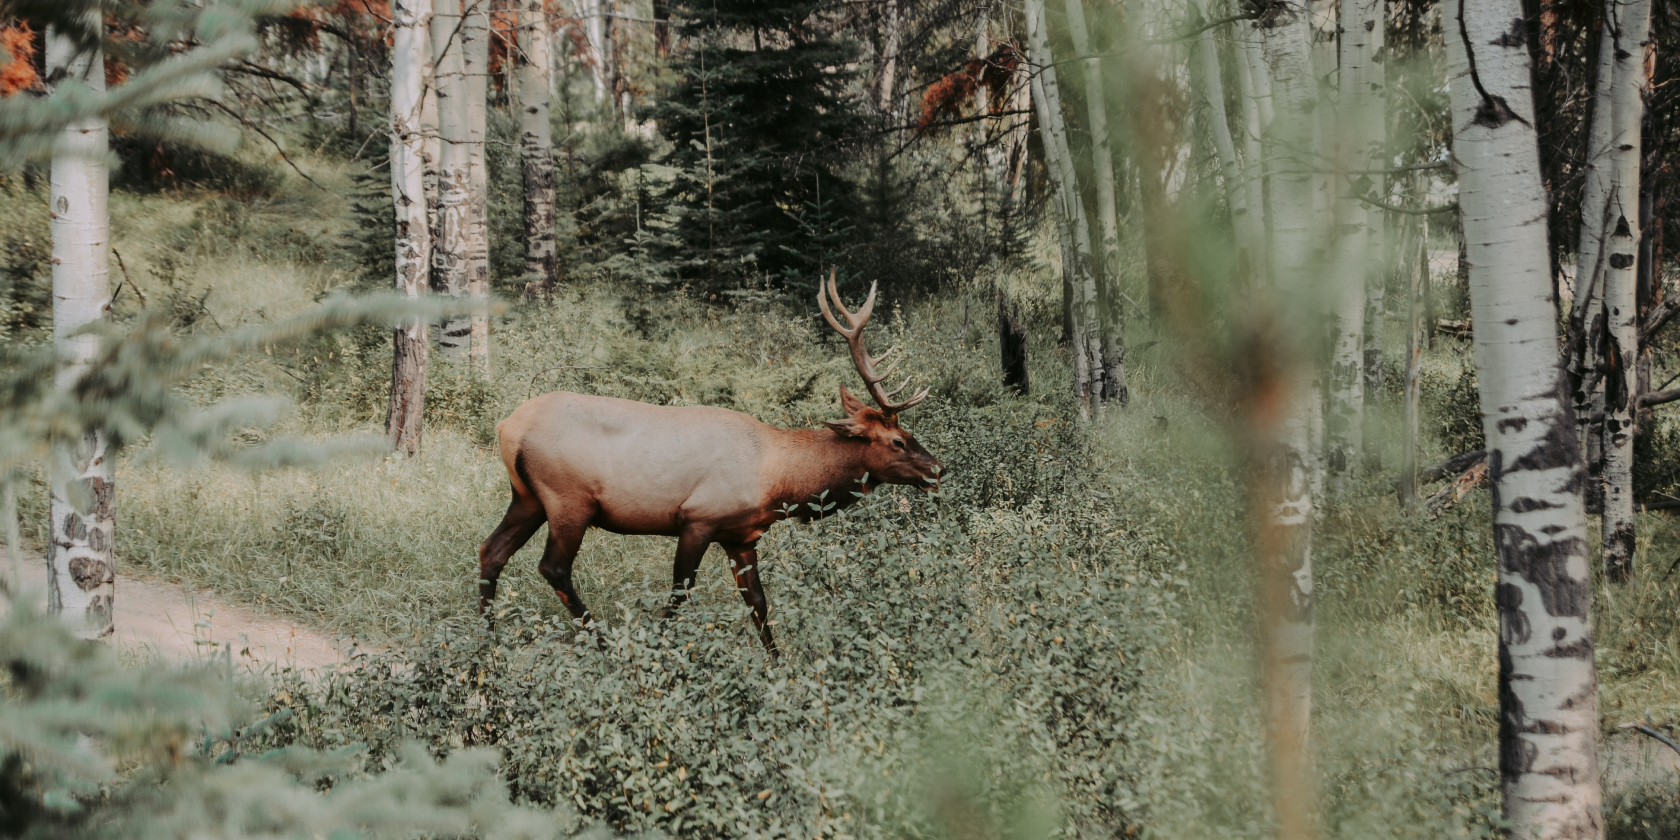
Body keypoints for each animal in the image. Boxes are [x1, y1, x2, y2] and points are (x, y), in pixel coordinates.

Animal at [477, 272, 947, 651]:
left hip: (527, 497)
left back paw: (488, 648)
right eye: (898, 441)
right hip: (568, 500)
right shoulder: (698, 518)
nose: (937, 469)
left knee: (490, 551)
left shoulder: (742, 536)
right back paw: (603, 645)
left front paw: (779, 666)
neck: (779, 483)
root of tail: (507, 427)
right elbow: (679, 594)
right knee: (553, 567)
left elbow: (758, 604)